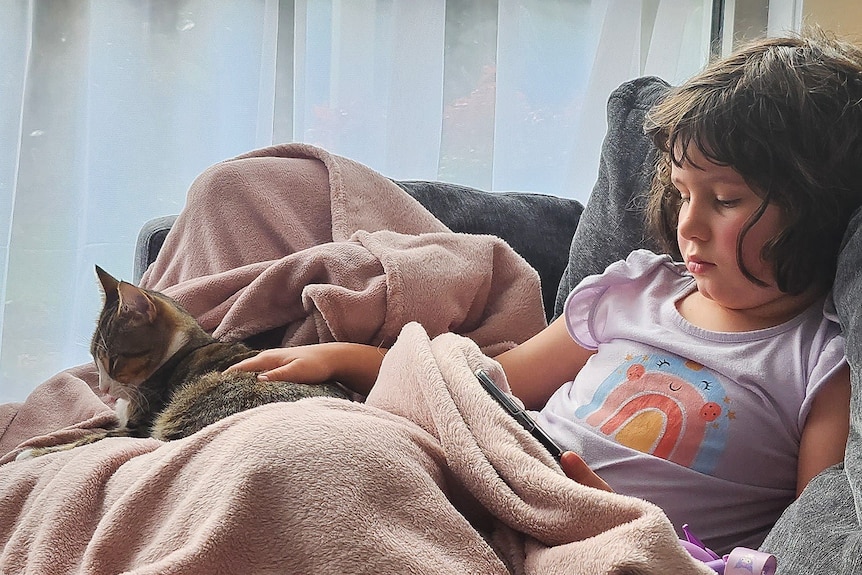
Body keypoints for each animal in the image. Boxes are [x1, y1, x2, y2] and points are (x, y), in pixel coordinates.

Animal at [24, 268, 348, 456]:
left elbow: (91, 438)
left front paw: (33, 452)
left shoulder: (137, 428)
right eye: (95, 359)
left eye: (113, 360)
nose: (104, 389)